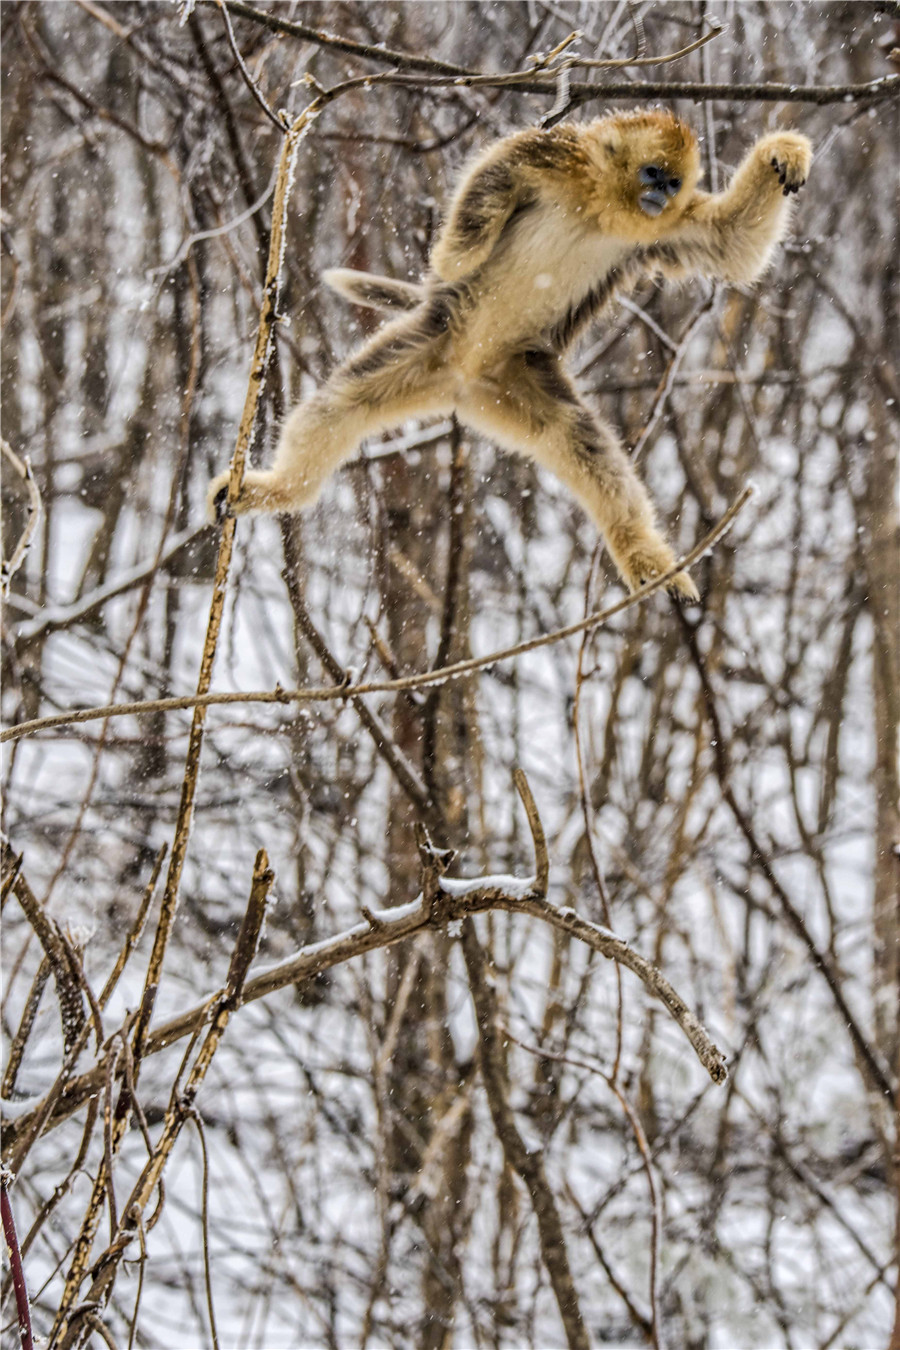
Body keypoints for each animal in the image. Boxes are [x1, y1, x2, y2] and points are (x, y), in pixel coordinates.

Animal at [207, 113, 814, 599]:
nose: (661, 196)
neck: (597, 209)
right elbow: (493, 175)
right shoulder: (552, 154)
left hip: (518, 376)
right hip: (429, 345)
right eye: (651, 174)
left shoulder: (669, 227)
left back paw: (644, 557)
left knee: (580, 440)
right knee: (343, 403)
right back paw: (277, 489)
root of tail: (462, 382)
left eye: (672, 181)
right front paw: (456, 254)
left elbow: (733, 244)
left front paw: (783, 152)